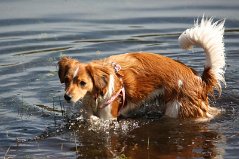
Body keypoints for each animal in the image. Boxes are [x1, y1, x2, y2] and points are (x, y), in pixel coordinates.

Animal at [58, 17, 226, 120]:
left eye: (82, 83)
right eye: (66, 80)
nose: (67, 97)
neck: (97, 93)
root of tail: (198, 79)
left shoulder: (108, 118)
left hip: (177, 110)